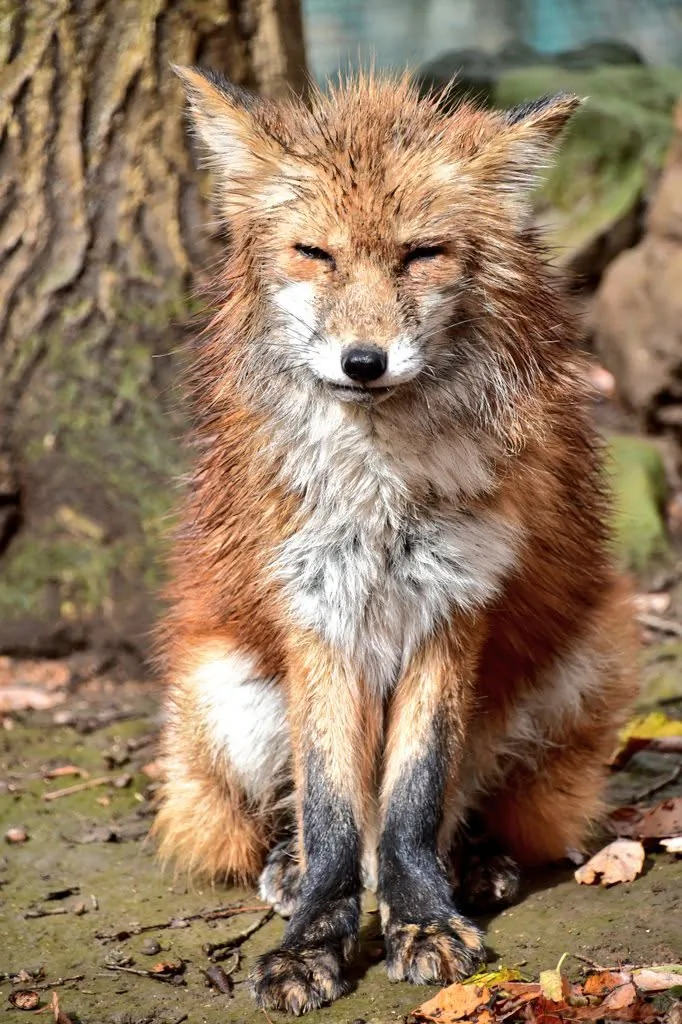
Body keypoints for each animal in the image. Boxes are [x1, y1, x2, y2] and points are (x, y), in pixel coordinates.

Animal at [153, 67, 638, 1015]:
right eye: (315, 254)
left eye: (422, 255)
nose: (363, 362)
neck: (381, 492)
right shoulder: (316, 614)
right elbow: (334, 810)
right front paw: (313, 941)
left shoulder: (453, 605)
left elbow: (415, 795)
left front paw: (422, 920)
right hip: (219, 693)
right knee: (284, 814)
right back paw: (290, 867)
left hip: (581, 666)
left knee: (471, 801)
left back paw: (472, 866)